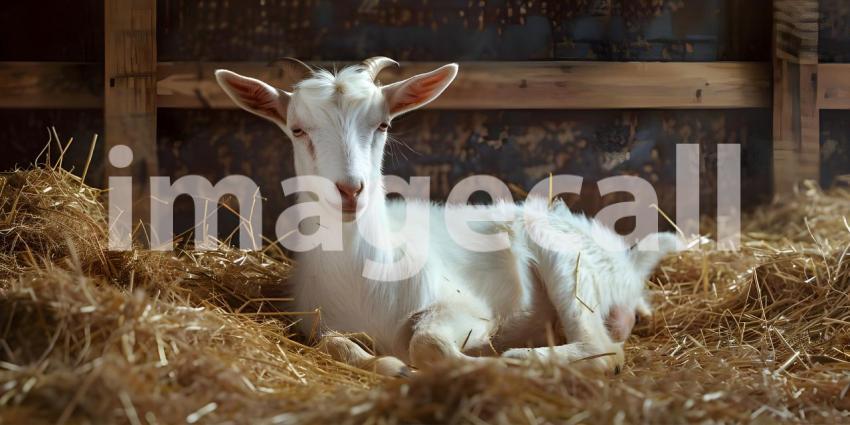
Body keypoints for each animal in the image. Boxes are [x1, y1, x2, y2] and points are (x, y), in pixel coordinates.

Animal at [215, 57, 682, 376]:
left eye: (383, 125)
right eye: (297, 129)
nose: (350, 191)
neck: (363, 273)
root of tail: (629, 264)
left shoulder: (466, 309)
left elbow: (428, 344)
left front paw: (482, 365)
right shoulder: (315, 323)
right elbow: (336, 347)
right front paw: (392, 367)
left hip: (570, 264)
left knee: (604, 348)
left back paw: (523, 357)